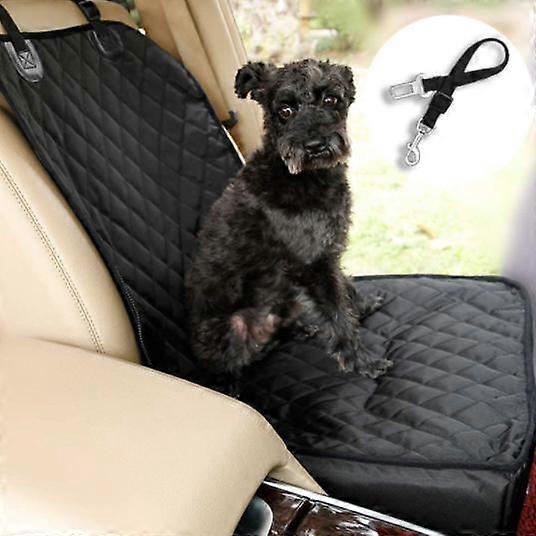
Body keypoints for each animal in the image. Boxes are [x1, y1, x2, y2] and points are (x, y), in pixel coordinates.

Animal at [186, 58, 392, 378]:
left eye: (331, 99)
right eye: (285, 110)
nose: (315, 146)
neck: (303, 178)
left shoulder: (327, 254)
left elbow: (344, 288)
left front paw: (363, 304)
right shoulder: (311, 264)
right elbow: (337, 314)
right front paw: (362, 361)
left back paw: (301, 326)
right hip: (233, 329)